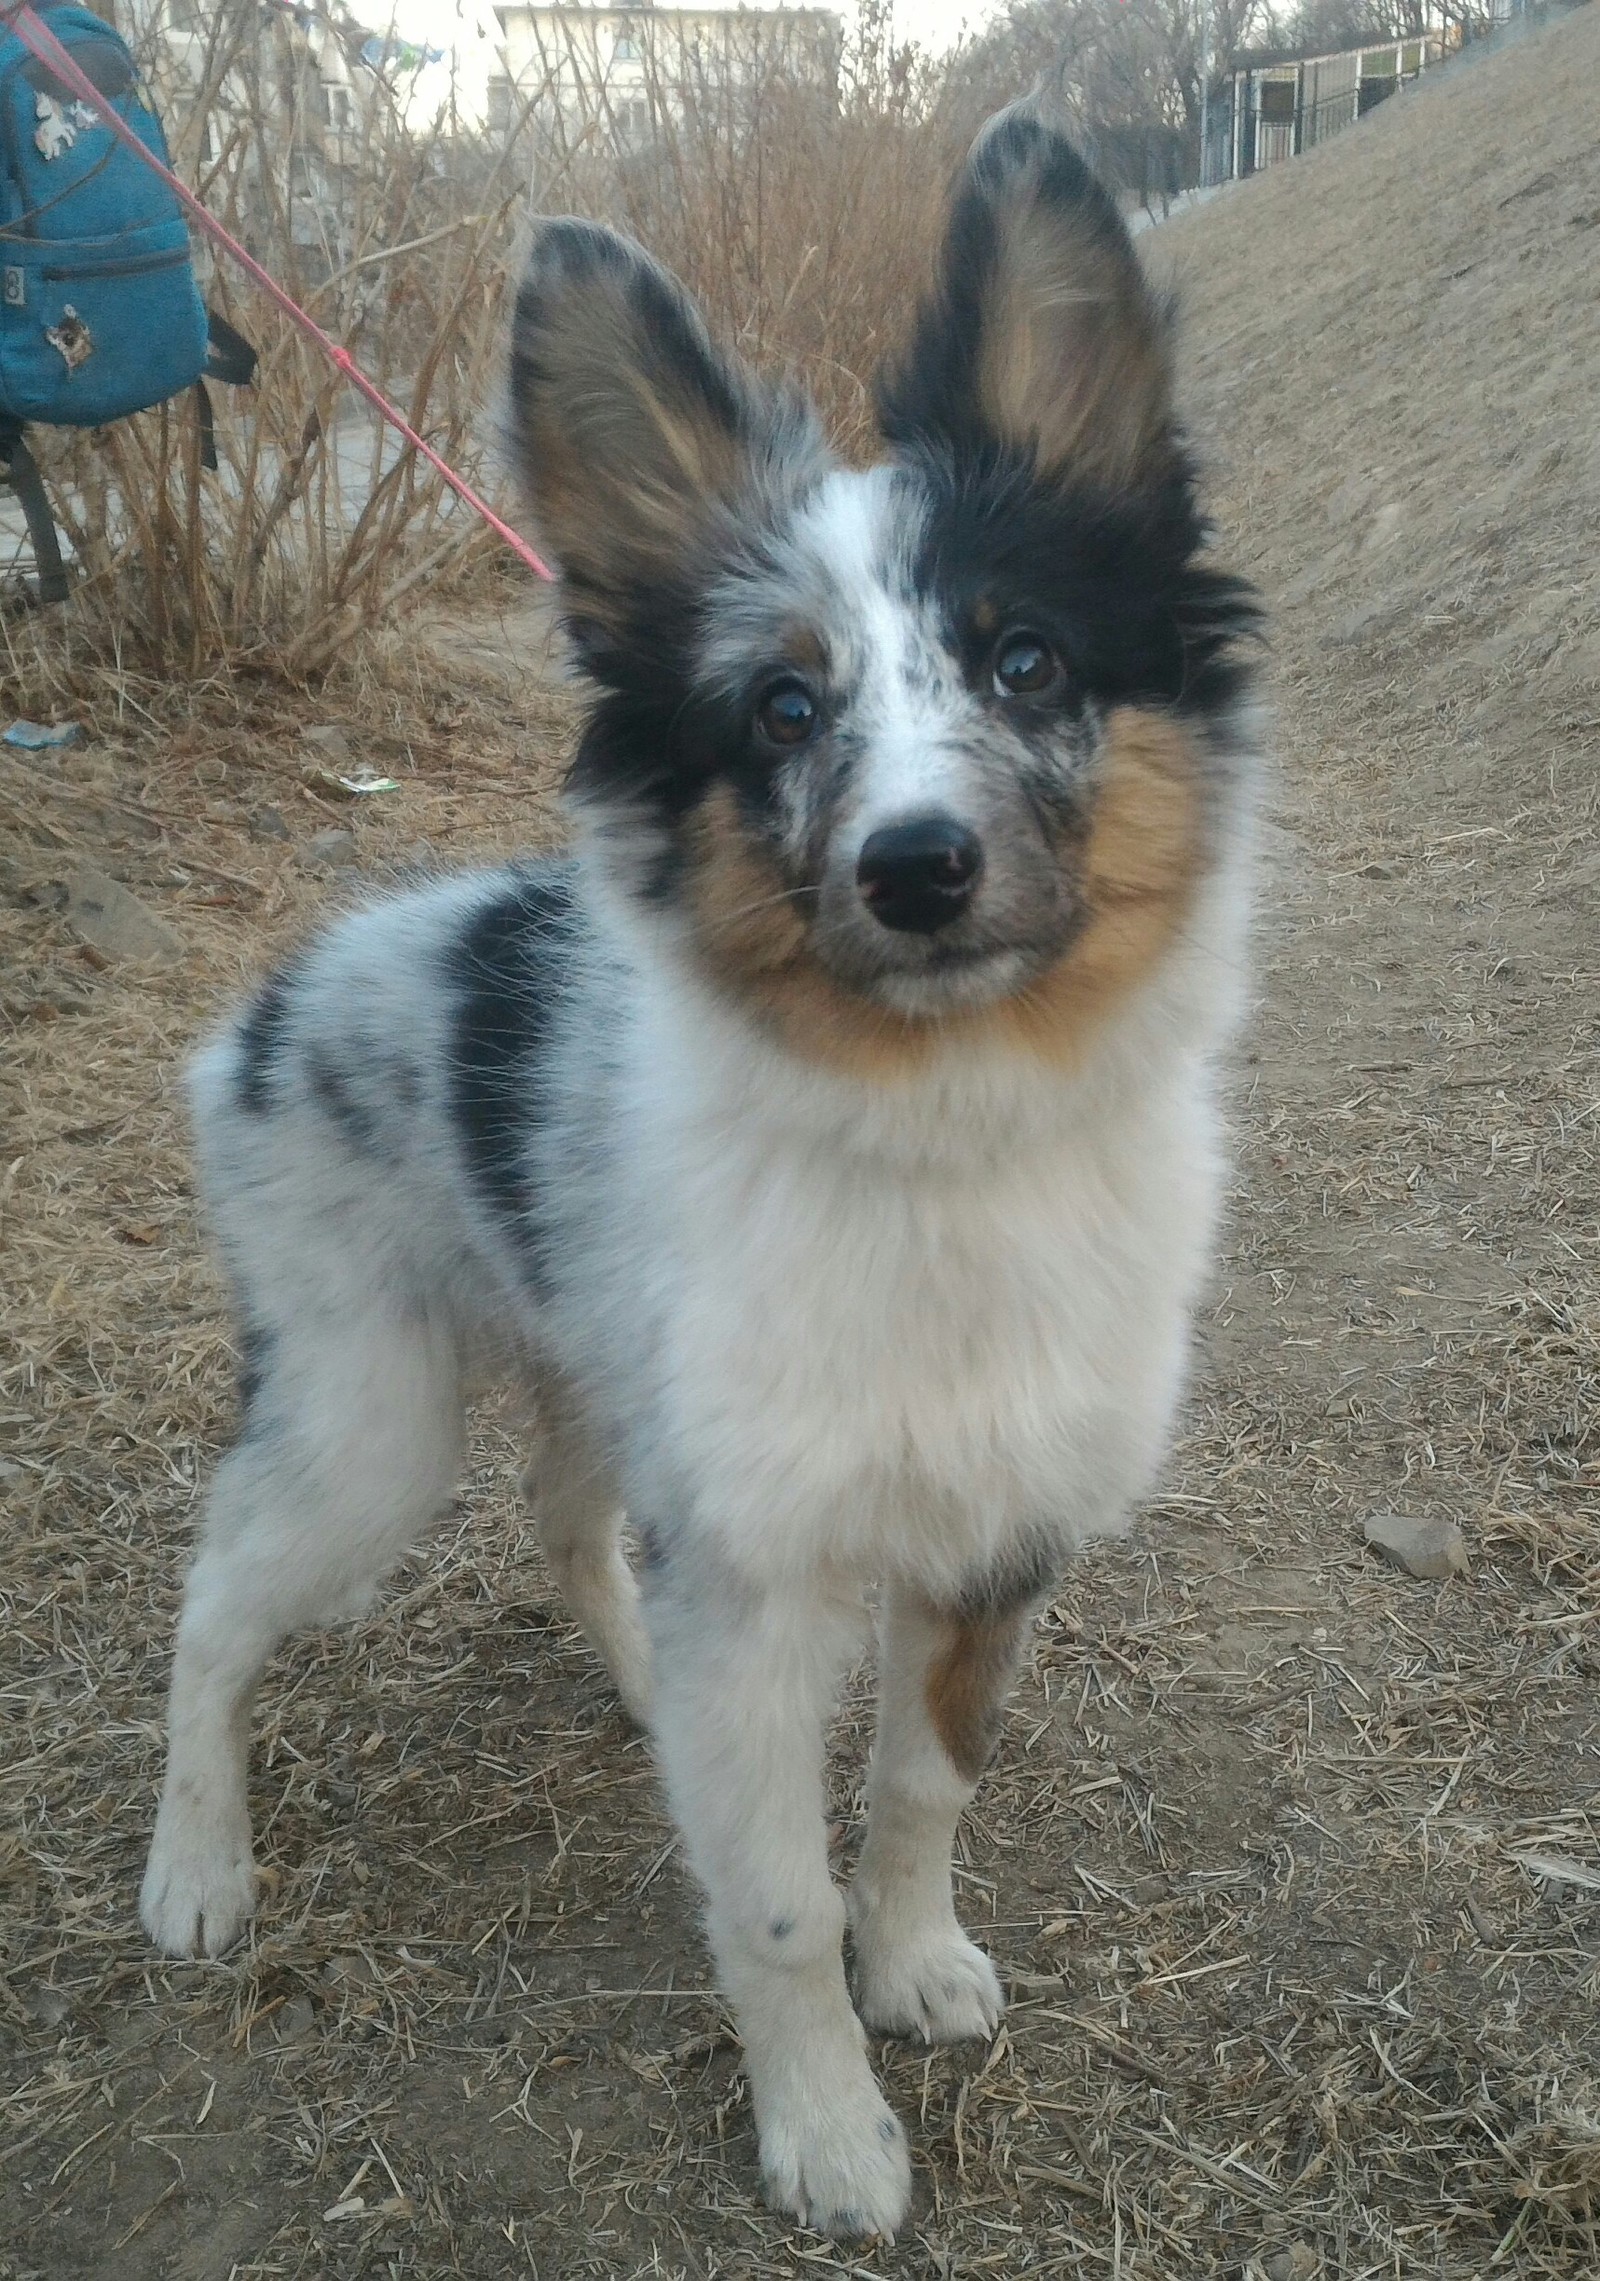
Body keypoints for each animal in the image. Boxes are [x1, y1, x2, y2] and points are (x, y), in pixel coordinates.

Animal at [137, 115, 1259, 2235]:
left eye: (1026, 659)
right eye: (782, 711)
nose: (919, 868)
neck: (934, 1143)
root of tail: (270, 998)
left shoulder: (988, 1536)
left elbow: (914, 1790)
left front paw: (918, 1960)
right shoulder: (759, 1559)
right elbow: (775, 1901)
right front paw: (823, 2124)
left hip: (587, 1362)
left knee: (565, 1519)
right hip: (364, 1419)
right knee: (219, 1594)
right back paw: (196, 1862)